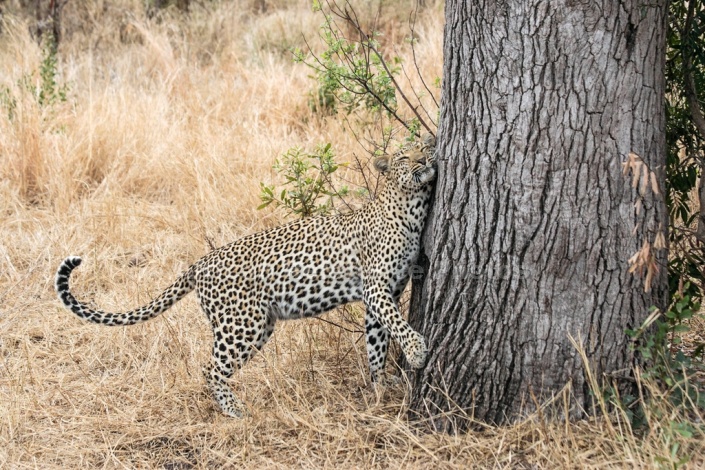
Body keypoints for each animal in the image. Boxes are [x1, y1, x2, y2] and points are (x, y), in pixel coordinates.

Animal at [55, 131, 438, 414]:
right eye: (404, 158)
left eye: (424, 148)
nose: (424, 159)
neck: (411, 208)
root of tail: (201, 262)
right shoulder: (376, 287)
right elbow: (396, 324)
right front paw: (418, 352)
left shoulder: (383, 293)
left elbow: (378, 340)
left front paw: (380, 383)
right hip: (242, 325)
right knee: (210, 368)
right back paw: (233, 409)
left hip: (259, 324)